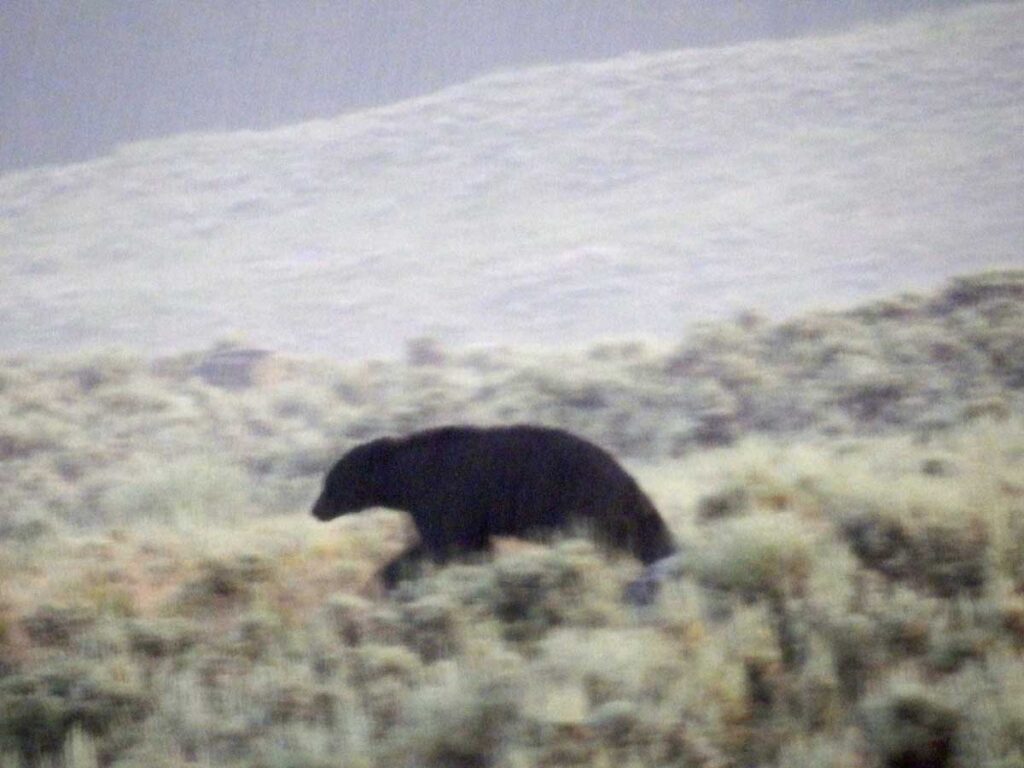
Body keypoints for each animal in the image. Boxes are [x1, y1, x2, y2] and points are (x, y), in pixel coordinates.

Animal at [312, 424, 676, 584]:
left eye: (330, 482)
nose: (316, 510)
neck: (405, 474)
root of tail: (622, 471)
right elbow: (470, 546)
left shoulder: (444, 496)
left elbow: (444, 544)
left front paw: (390, 576)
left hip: (583, 500)